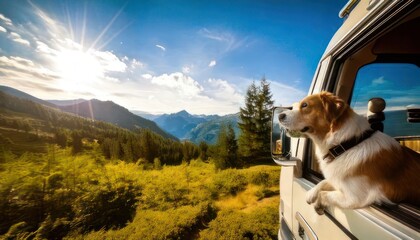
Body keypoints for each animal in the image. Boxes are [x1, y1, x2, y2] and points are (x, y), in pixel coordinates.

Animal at [278, 91, 420, 214]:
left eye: (305, 105)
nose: (279, 116)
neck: (346, 144)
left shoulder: (355, 197)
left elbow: (324, 194)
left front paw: (318, 202)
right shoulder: (339, 178)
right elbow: (325, 182)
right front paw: (312, 193)